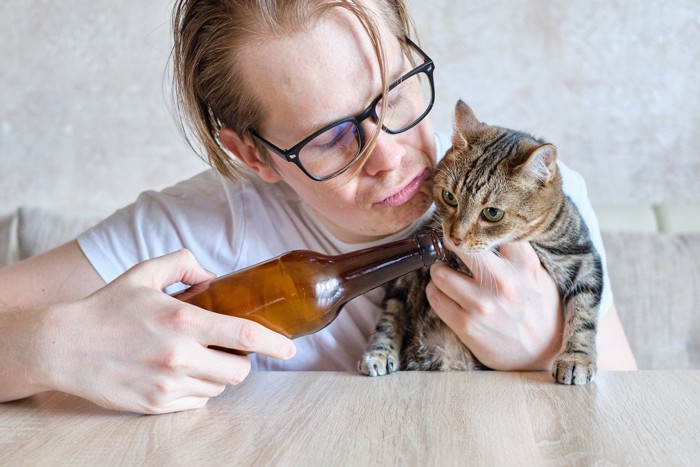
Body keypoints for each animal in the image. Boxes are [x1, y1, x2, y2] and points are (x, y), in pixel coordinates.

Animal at [358, 100, 604, 386]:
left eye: (493, 213)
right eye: (449, 197)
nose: (455, 237)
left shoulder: (583, 258)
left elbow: (583, 316)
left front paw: (577, 359)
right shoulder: (407, 270)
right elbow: (389, 315)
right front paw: (378, 352)